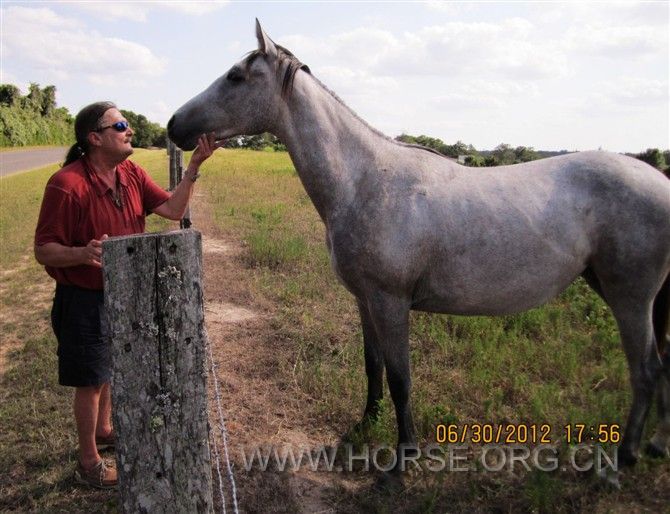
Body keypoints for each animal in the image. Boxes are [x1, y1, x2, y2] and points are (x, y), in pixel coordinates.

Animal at [169, 21, 670, 468]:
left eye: (235, 76)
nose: (174, 125)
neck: (364, 181)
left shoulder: (391, 302)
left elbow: (400, 378)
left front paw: (403, 457)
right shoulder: (365, 300)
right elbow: (372, 366)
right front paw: (363, 426)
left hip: (630, 297)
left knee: (646, 371)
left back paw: (624, 459)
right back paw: (656, 447)